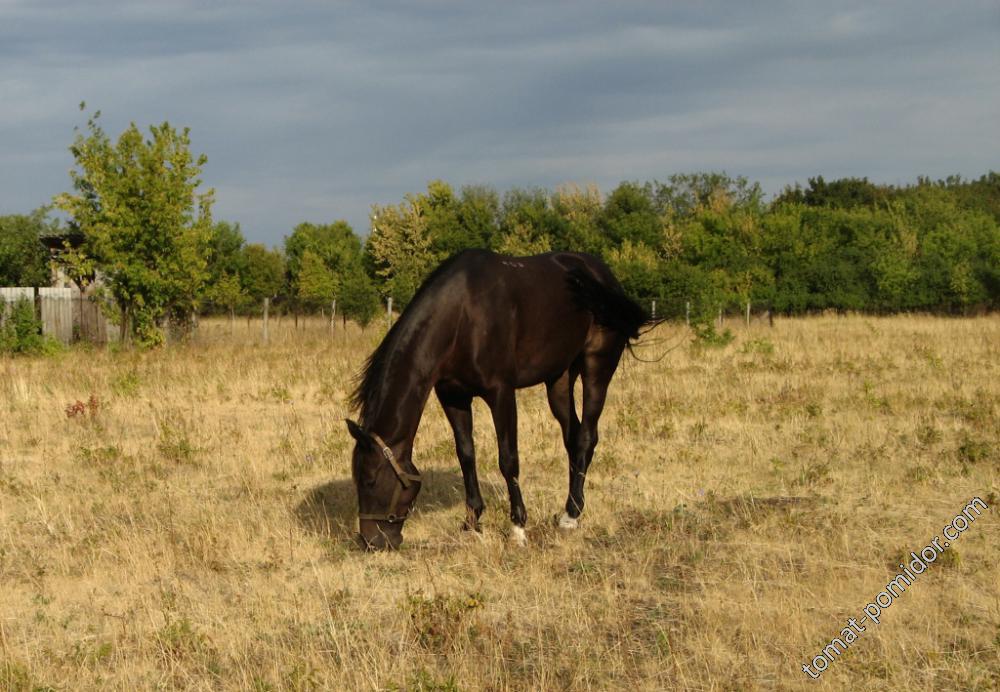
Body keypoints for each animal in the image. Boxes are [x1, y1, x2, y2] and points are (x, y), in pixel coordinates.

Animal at [348, 249, 652, 552]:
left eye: (370, 481)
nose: (372, 541)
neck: (463, 316)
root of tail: (605, 278)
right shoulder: (453, 396)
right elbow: (466, 454)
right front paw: (471, 522)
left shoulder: (501, 393)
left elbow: (508, 459)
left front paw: (518, 527)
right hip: (559, 379)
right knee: (573, 438)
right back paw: (568, 509)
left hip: (597, 367)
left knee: (588, 436)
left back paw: (572, 516)